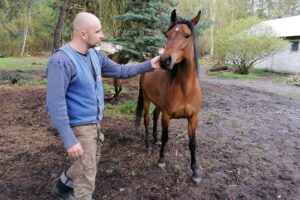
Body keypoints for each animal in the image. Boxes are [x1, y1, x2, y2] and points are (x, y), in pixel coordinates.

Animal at [135, 9, 202, 184]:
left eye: (186, 35)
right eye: (167, 34)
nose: (164, 60)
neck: (185, 89)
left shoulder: (193, 118)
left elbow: (193, 143)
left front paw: (195, 172)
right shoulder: (167, 115)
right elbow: (166, 137)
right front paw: (161, 160)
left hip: (158, 104)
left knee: (154, 115)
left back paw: (155, 139)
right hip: (146, 99)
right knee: (146, 119)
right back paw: (148, 144)